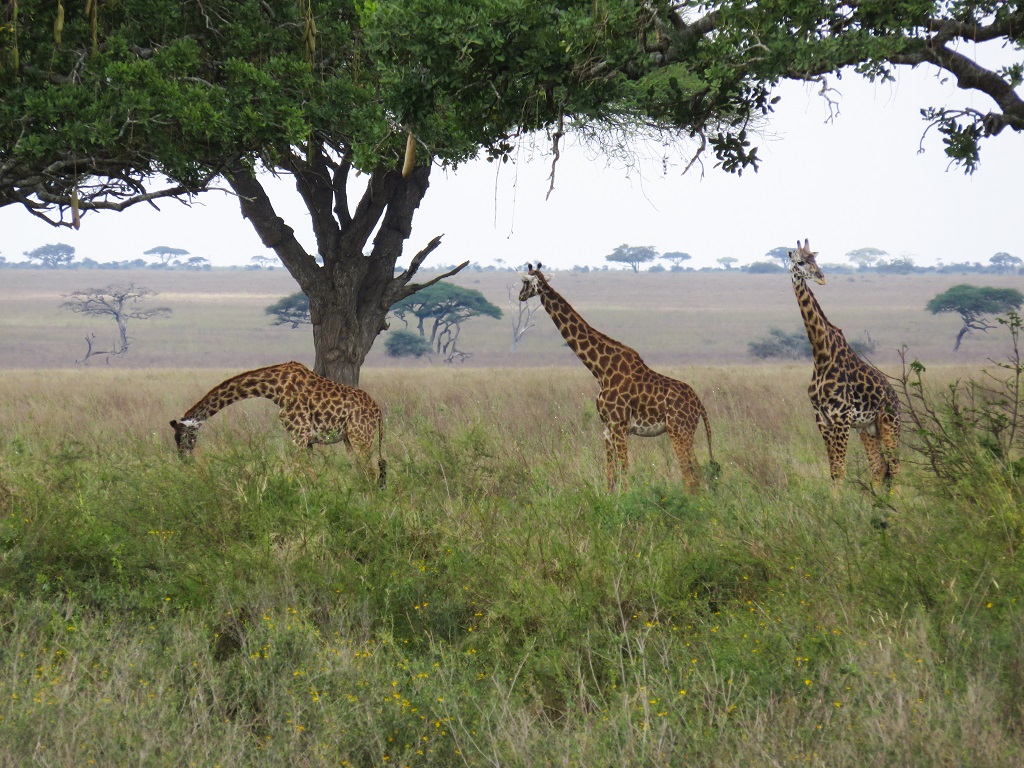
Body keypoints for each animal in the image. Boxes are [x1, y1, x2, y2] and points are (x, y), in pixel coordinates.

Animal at [169, 360, 385, 487]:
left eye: (183, 437)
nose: (183, 459)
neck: (274, 388)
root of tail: (377, 411)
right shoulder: (307, 440)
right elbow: (309, 473)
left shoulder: (300, 434)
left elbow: (297, 469)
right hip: (350, 439)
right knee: (362, 471)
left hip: (361, 436)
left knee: (371, 471)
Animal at [516, 264, 716, 493]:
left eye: (525, 282)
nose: (520, 296)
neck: (600, 369)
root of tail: (700, 405)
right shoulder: (606, 428)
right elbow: (610, 478)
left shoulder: (618, 425)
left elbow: (625, 472)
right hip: (685, 432)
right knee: (696, 473)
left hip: (678, 431)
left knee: (690, 476)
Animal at [786, 237, 901, 495]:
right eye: (800, 262)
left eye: (815, 259)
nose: (821, 277)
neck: (821, 356)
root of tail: (895, 398)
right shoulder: (823, 419)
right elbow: (833, 470)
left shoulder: (841, 418)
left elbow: (839, 469)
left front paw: (836, 504)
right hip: (868, 428)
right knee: (879, 467)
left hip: (889, 423)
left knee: (896, 466)